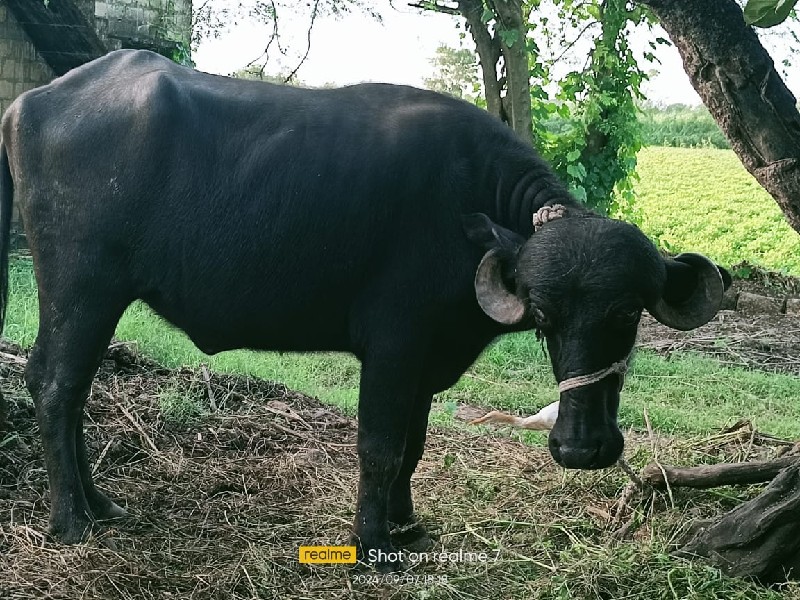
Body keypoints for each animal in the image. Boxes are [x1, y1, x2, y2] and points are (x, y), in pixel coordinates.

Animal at [0, 48, 724, 568]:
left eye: (628, 313)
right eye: (544, 316)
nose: (580, 449)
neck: (468, 209)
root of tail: (31, 102)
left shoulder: (428, 357)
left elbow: (414, 443)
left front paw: (404, 522)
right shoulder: (394, 346)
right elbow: (378, 444)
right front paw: (372, 543)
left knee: (73, 389)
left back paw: (99, 503)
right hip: (83, 288)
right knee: (56, 382)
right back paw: (71, 520)